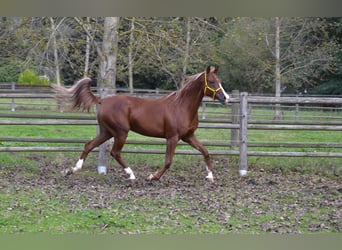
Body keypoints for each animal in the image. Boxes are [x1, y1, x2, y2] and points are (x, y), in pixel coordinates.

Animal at [56, 65, 230, 182]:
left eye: (219, 81)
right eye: (212, 82)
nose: (226, 98)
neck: (182, 106)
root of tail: (102, 100)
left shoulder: (188, 136)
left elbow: (205, 152)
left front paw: (210, 176)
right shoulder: (172, 137)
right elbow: (168, 161)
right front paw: (153, 177)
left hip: (107, 132)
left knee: (89, 145)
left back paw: (71, 170)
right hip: (120, 132)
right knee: (115, 152)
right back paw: (132, 175)